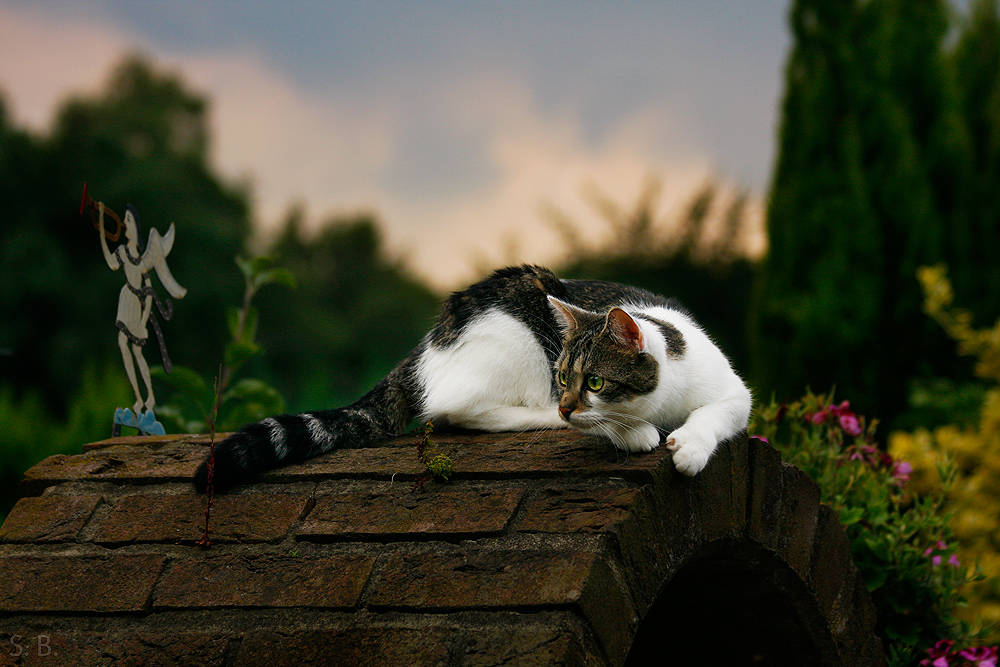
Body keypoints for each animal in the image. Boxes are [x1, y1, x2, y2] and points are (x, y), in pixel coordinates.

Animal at [197, 264, 752, 494]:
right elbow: (611, 426)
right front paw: (636, 433)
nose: (567, 403)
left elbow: (717, 413)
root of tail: (428, 342)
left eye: (593, 381)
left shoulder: (735, 394)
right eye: (564, 376)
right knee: (455, 410)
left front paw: (690, 447)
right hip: (516, 325)